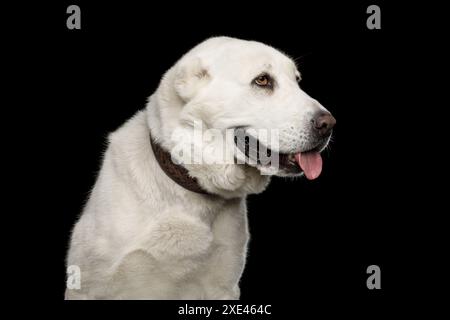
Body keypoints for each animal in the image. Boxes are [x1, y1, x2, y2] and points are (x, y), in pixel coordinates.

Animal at [66, 37, 334, 300]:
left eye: (297, 81)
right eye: (262, 80)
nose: (329, 124)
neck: (187, 189)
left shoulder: (223, 288)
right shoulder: (88, 288)